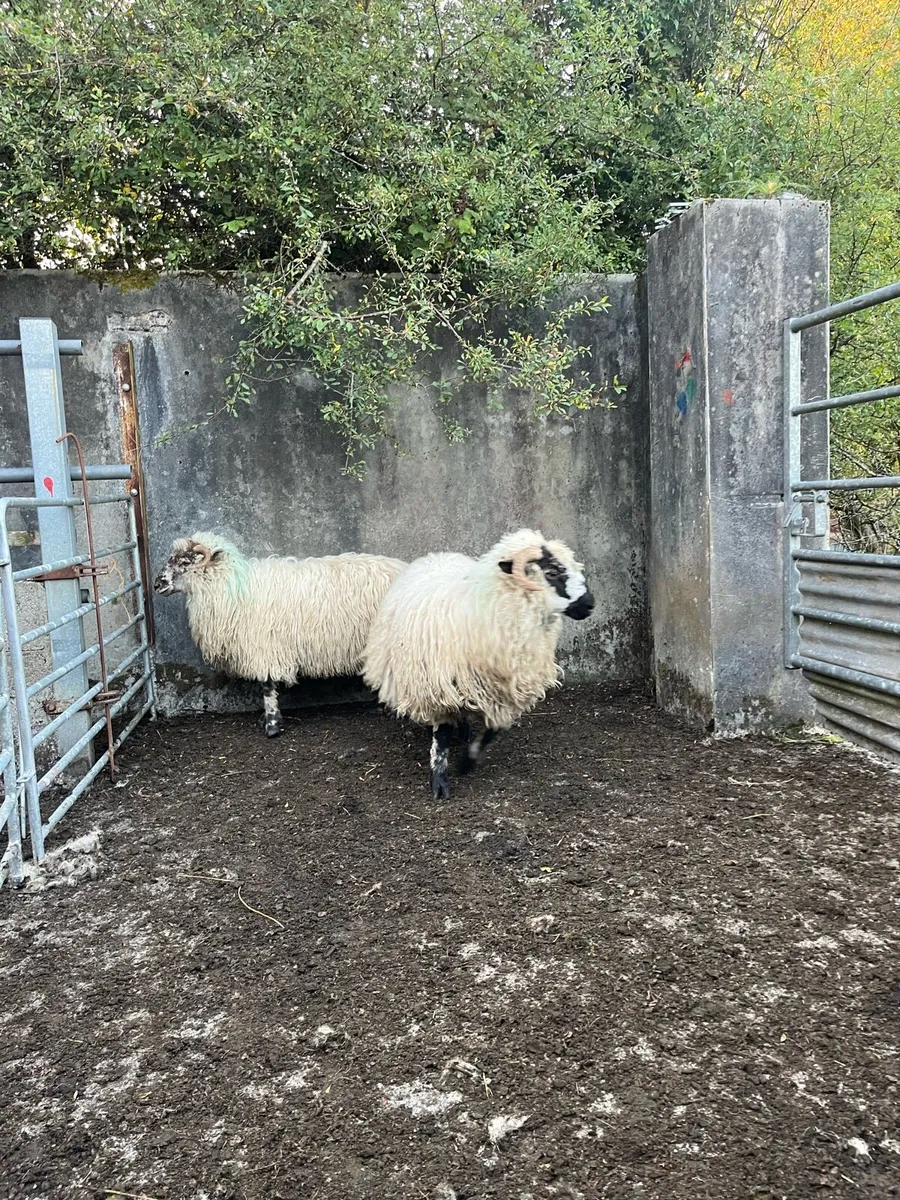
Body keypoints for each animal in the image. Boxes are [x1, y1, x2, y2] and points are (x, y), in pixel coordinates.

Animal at [153, 532, 406, 736]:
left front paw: (272, 725)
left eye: (185, 561)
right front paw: (266, 719)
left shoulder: (264, 647)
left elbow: (267, 686)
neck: (230, 587)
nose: (157, 584)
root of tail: (403, 567)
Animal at [362, 527, 594, 798]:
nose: (590, 604)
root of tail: (438, 554)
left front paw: (467, 762)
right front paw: (439, 781)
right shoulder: (437, 685)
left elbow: (493, 730)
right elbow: (441, 735)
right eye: (553, 572)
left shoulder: (504, 692)